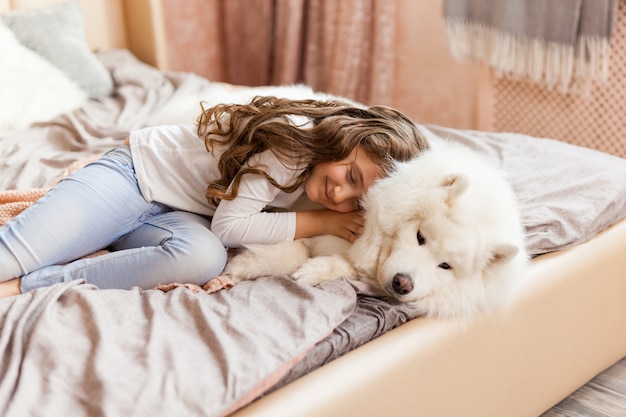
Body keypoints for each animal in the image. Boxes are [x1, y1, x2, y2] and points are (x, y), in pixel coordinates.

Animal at [214, 136, 528, 318]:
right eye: (420, 237)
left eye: (446, 266)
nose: (402, 284)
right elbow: (289, 249)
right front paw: (239, 269)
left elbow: (342, 266)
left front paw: (314, 271)